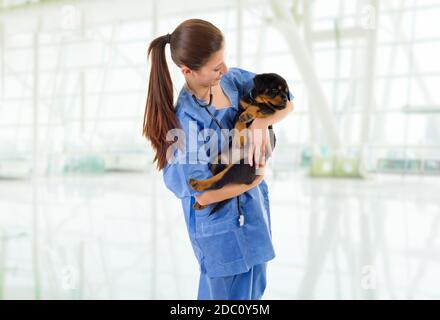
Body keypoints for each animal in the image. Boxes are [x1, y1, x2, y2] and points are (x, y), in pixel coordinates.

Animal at [187, 72, 290, 215]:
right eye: (274, 90)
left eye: (286, 92)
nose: (286, 100)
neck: (254, 99)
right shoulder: (239, 111)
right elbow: (238, 122)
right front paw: (241, 135)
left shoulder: (270, 111)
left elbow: (260, 107)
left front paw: (248, 115)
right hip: (218, 160)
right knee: (218, 186)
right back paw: (201, 199)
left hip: (240, 166)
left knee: (220, 182)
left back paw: (198, 185)